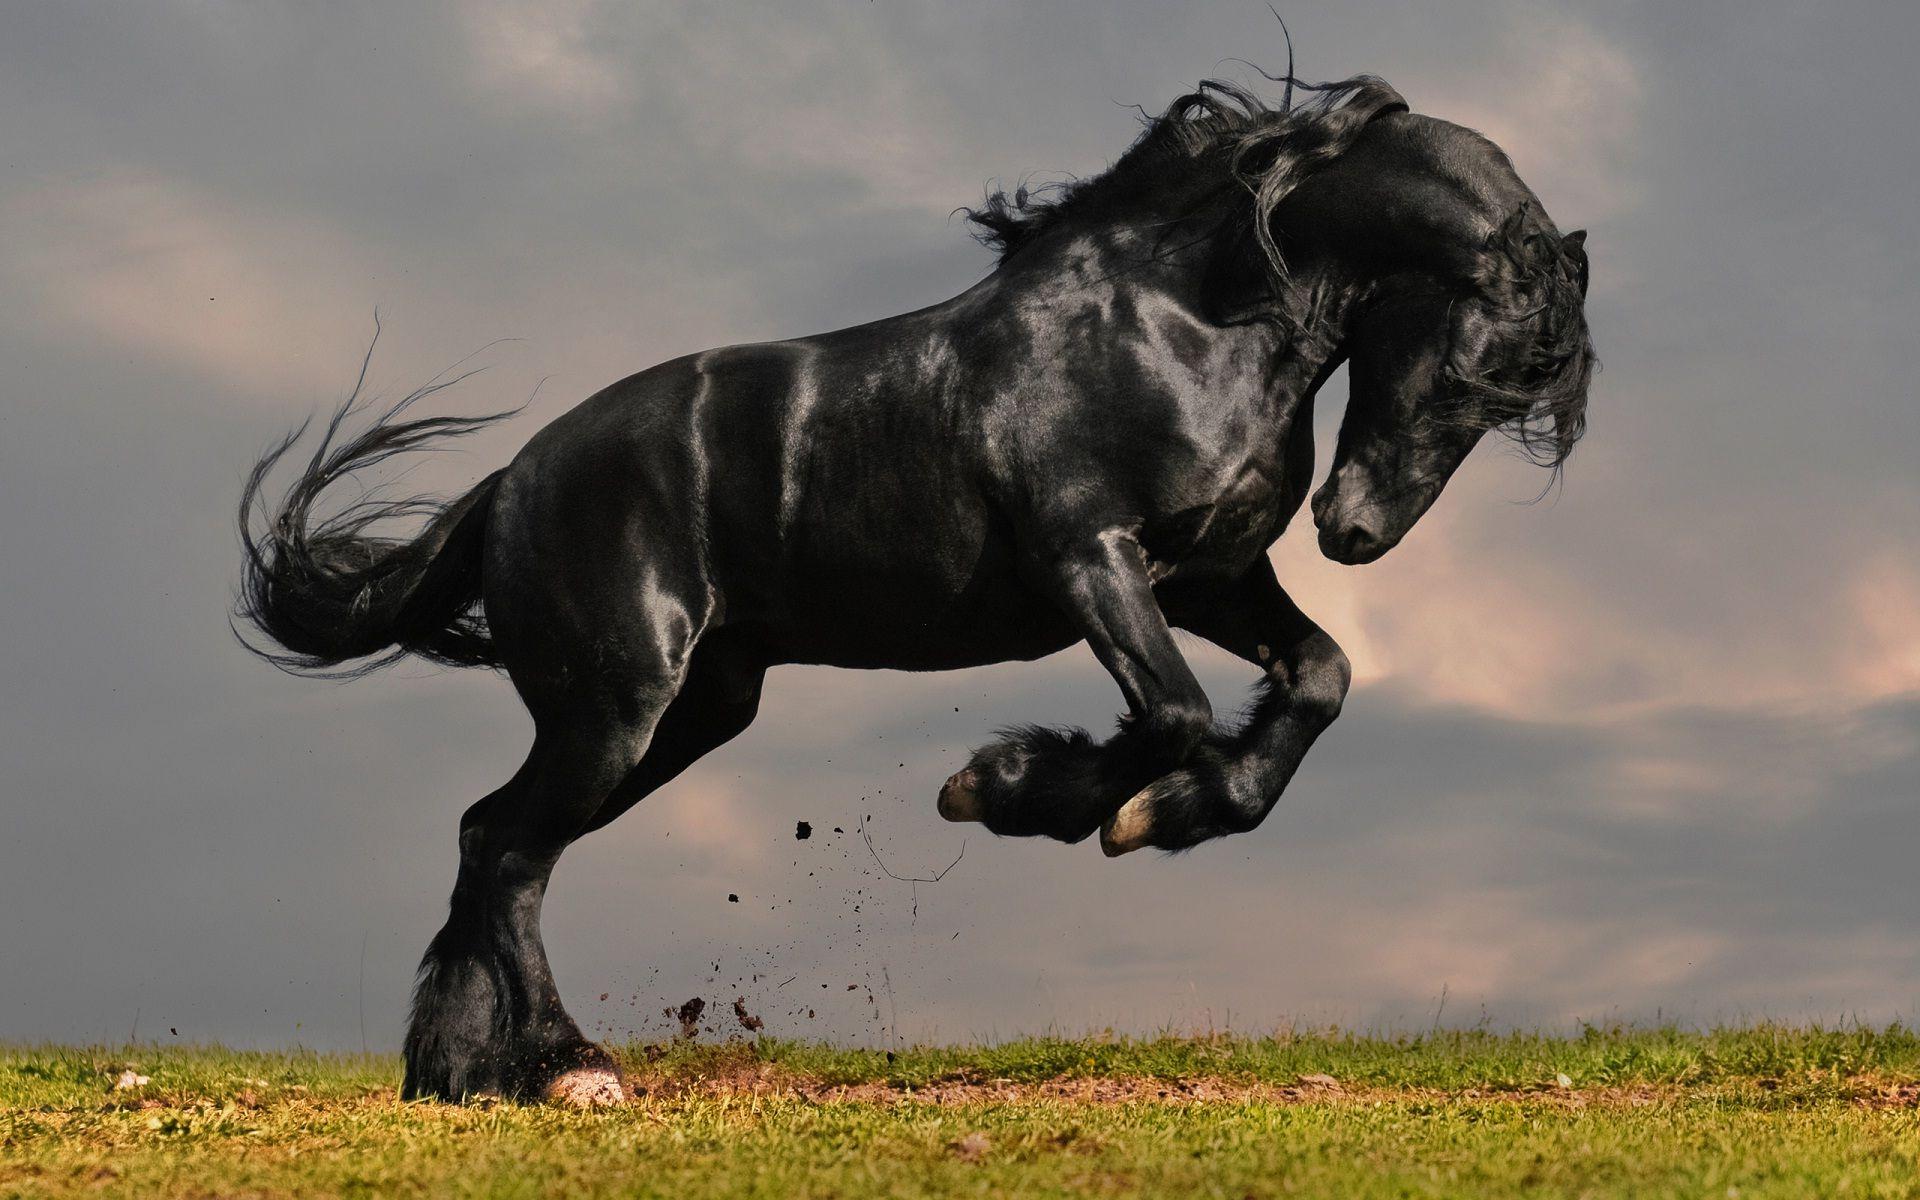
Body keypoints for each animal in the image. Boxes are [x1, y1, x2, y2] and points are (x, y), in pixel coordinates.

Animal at [236, 72, 1595, 1105]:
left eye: (1516, 396)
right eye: (1472, 368)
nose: (1356, 531)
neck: (1185, 320)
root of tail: (511, 483)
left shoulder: (1211, 573)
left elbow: (1317, 679)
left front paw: (1169, 812)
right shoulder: (1092, 559)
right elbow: (1174, 713)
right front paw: (1015, 791)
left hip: (689, 713)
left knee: (490, 839)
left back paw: (464, 1073)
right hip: (615, 709)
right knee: (510, 849)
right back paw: (568, 1068)